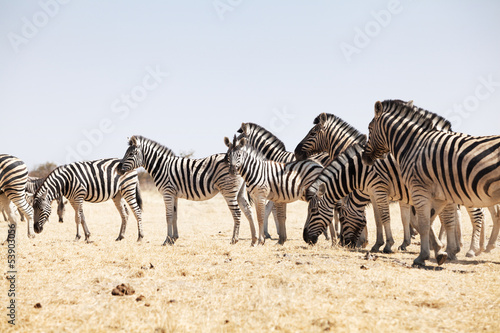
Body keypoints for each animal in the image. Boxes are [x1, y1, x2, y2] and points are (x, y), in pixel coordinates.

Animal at [117, 134, 256, 245]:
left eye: (131, 154)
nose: (118, 169)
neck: (161, 166)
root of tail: (239, 164)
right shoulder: (174, 195)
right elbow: (175, 215)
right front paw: (174, 239)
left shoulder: (167, 192)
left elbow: (168, 216)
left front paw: (167, 240)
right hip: (239, 192)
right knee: (248, 210)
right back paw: (254, 239)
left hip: (228, 191)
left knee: (237, 213)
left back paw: (234, 240)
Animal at [362, 98, 500, 264]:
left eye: (369, 128)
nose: (364, 158)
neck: (414, 145)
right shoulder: (440, 195)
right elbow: (439, 221)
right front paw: (443, 250)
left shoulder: (419, 190)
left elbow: (423, 223)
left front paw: (423, 256)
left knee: (480, 216)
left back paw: (475, 250)